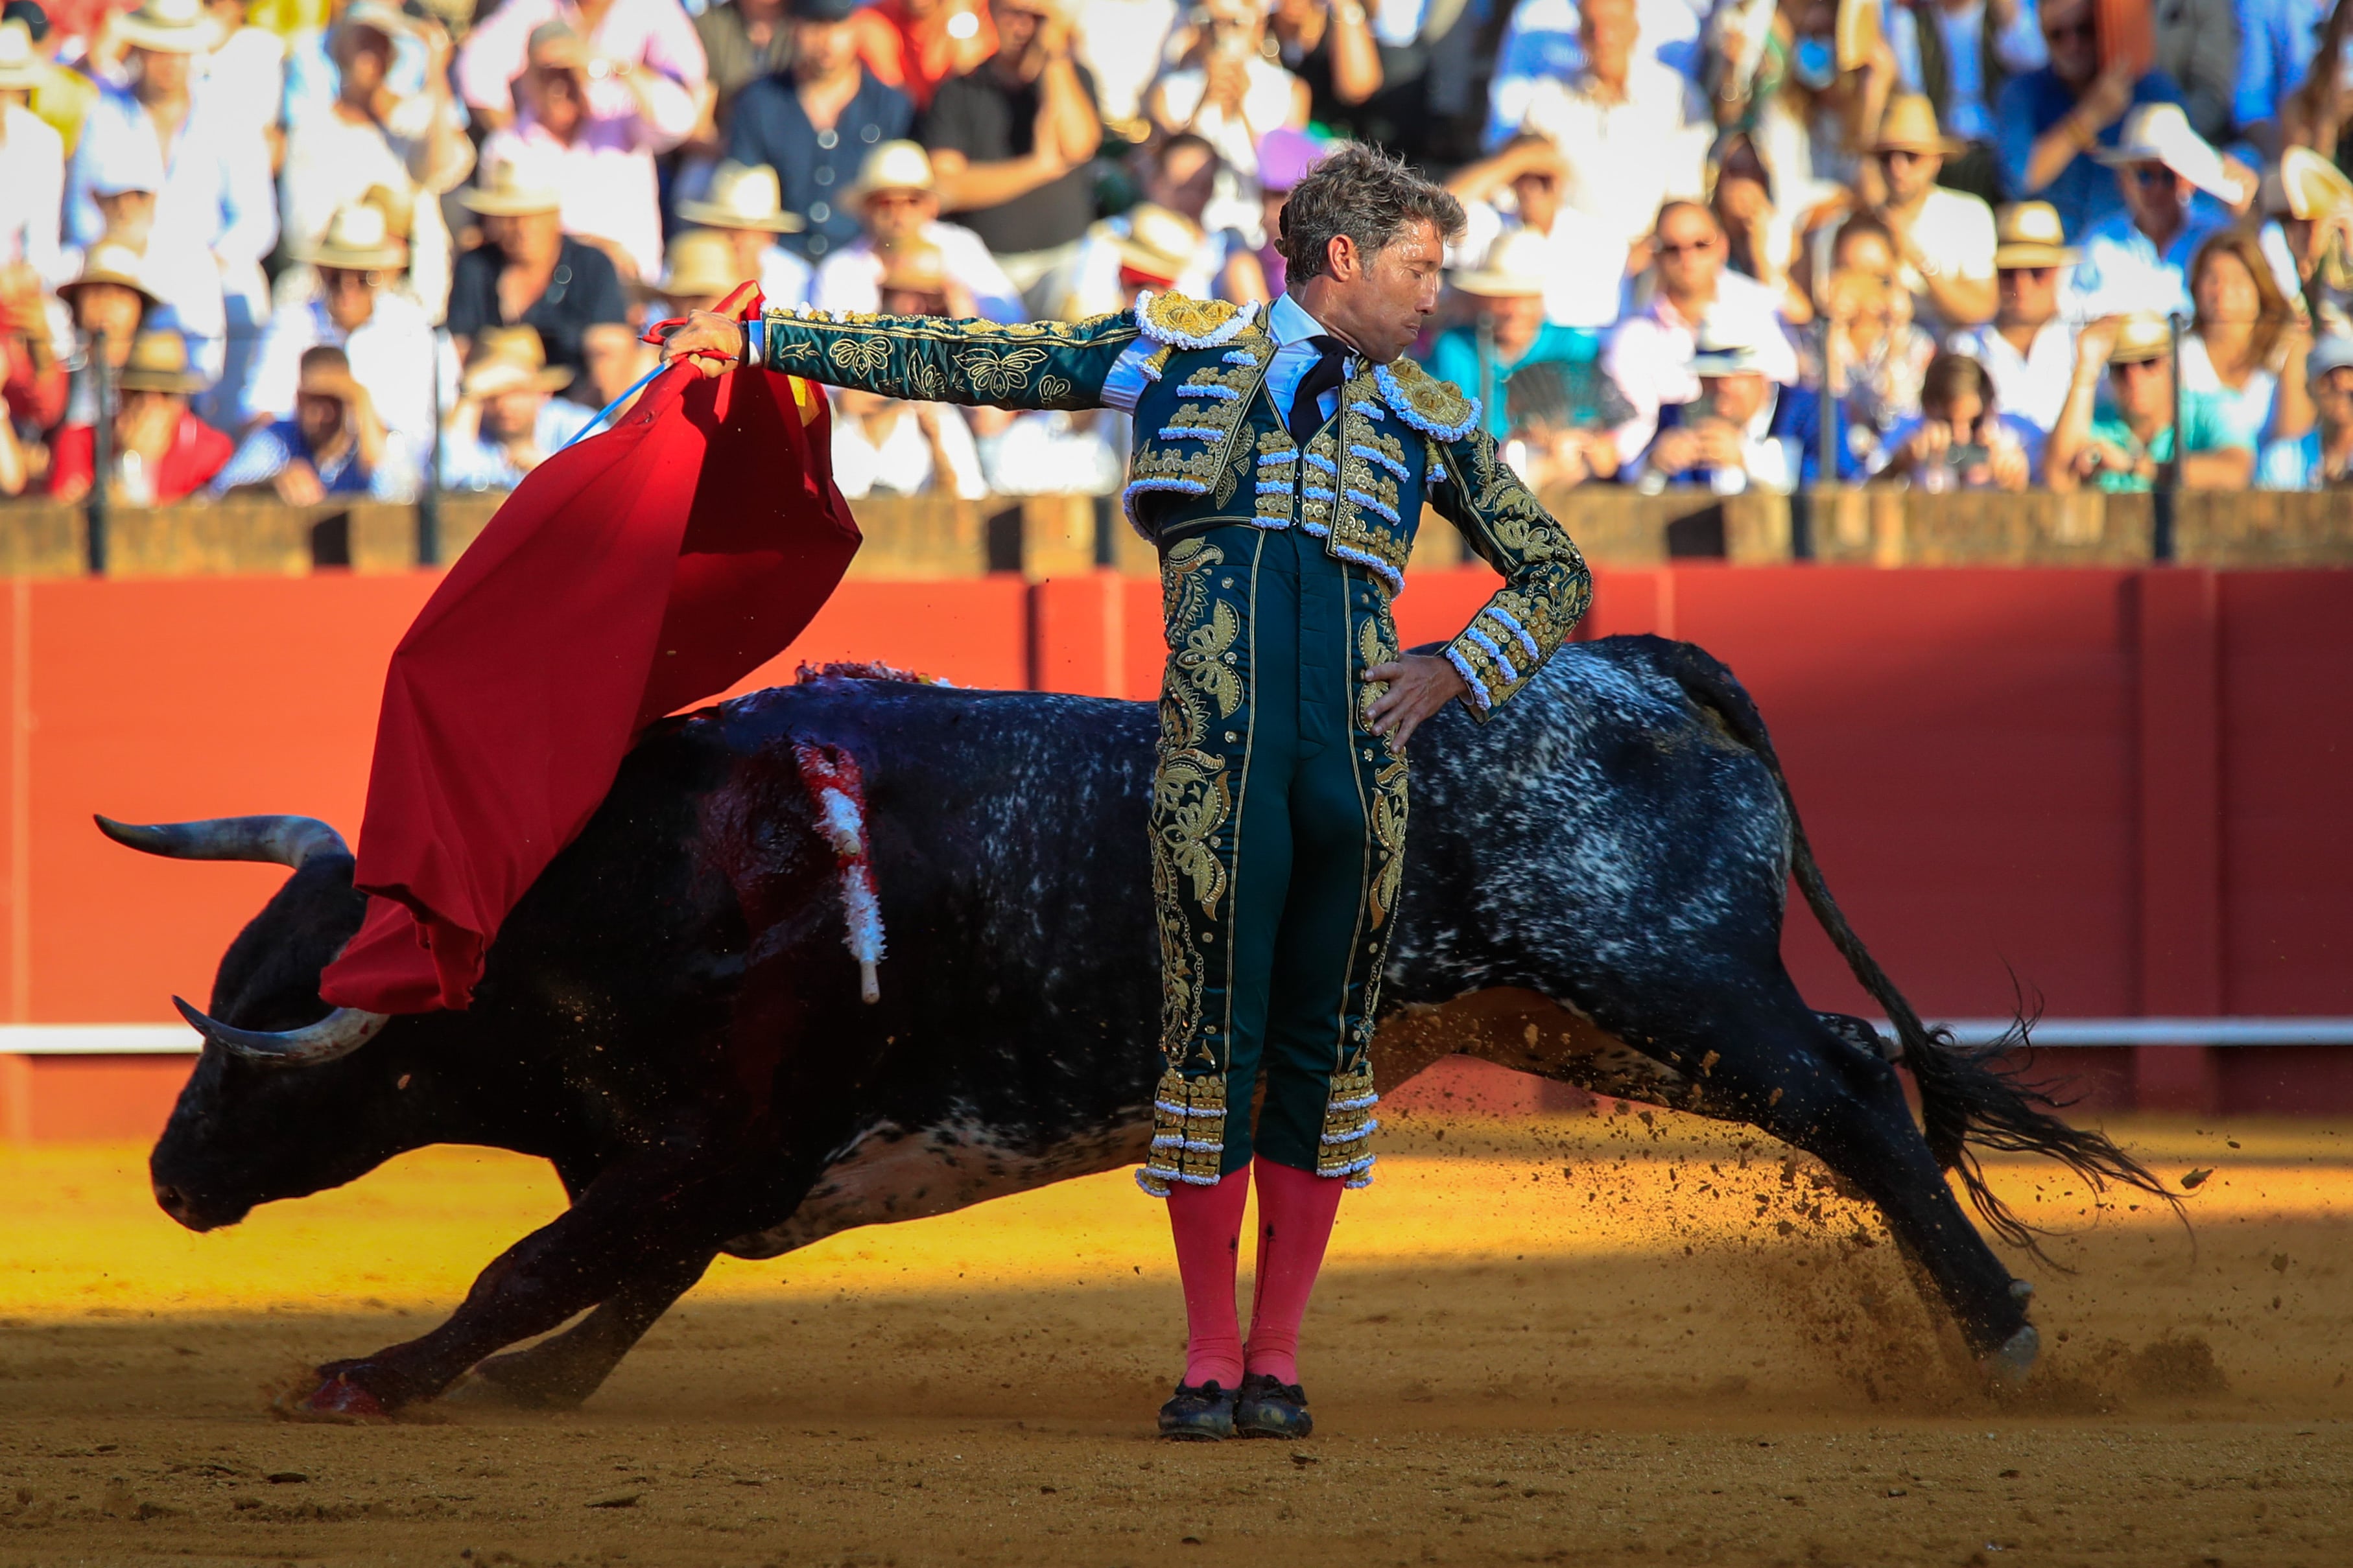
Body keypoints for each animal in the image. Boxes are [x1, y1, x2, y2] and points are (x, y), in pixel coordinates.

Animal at [114, 629, 2164, 1420]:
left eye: (285, 1023)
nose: (169, 1178)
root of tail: (1622, 664)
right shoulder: (711, 1173)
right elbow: (607, 1283)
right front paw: (520, 1390)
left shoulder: (713, 1142)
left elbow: (530, 1266)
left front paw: (368, 1376)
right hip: (1601, 1016)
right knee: (1861, 1096)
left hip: (1665, 978)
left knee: (1864, 1106)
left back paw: (2004, 1338)